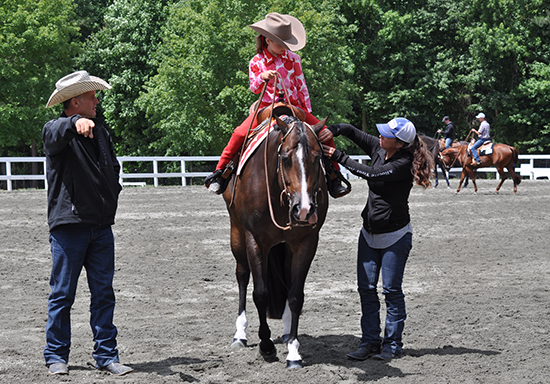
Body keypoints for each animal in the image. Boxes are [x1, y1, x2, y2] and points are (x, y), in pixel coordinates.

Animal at [223, 115, 330, 368]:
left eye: (318, 157)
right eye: (286, 158)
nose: (304, 209)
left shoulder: (306, 242)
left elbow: (296, 295)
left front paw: (293, 351)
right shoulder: (255, 240)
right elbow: (260, 294)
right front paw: (266, 346)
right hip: (237, 234)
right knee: (242, 275)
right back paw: (240, 334)